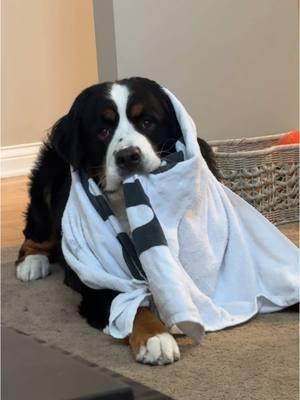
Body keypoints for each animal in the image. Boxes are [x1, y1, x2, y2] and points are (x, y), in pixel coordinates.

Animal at [15, 76, 218, 366]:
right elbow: (129, 306)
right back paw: (32, 263)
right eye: (102, 131)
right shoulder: (95, 282)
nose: (128, 156)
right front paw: (155, 337)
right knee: (35, 231)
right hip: (46, 181)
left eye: (147, 122)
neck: (126, 205)